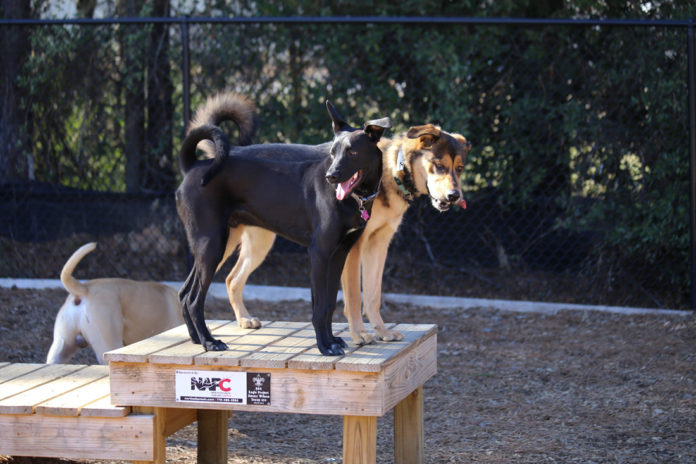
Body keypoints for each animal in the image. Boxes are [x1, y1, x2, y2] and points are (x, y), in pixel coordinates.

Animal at [175, 101, 392, 356]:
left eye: (353, 152)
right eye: (332, 153)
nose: (331, 176)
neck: (355, 198)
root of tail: (192, 167)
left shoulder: (339, 253)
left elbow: (328, 303)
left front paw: (332, 341)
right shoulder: (319, 253)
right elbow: (319, 306)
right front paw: (324, 346)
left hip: (210, 247)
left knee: (184, 293)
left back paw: (196, 338)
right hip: (212, 245)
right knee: (194, 299)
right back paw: (209, 342)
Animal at [190, 91, 474, 344]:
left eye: (460, 168)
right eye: (439, 165)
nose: (454, 196)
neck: (392, 169)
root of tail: (226, 153)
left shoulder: (378, 244)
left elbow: (373, 295)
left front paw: (382, 331)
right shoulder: (354, 247)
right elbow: (353, 297)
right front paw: (359, 335)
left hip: (257, 243)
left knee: (231, 278)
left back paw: (242, 320)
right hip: (223, 243)